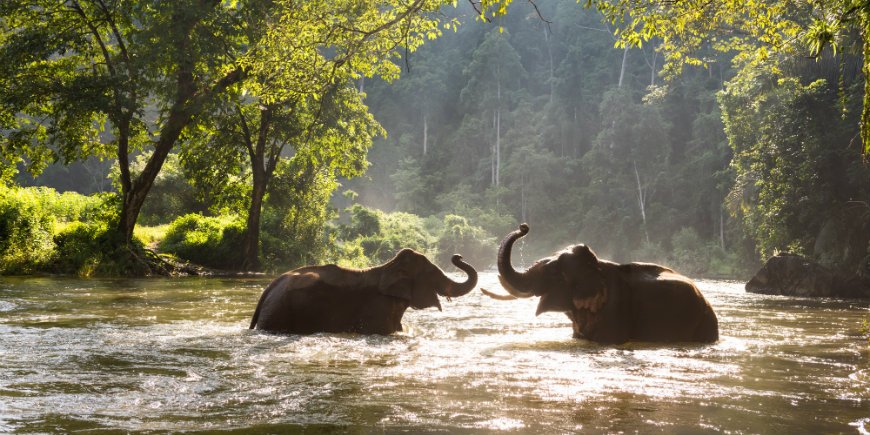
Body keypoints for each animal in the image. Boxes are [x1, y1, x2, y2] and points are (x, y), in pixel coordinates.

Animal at [247, 249, 476, 338]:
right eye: (430, 273)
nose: (458, 256)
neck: (388, 266)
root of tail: (269, 288)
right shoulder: (378, 309)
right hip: (278, 313)